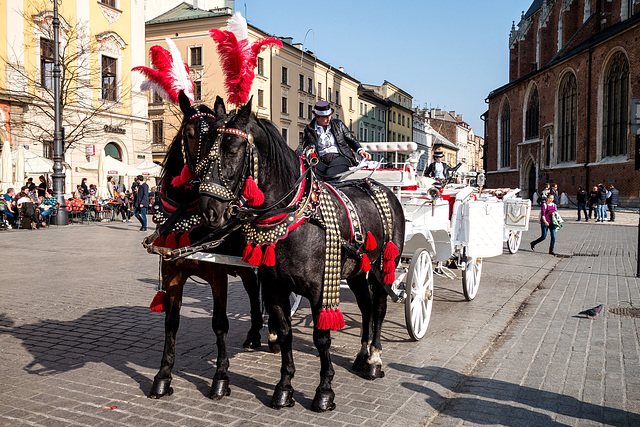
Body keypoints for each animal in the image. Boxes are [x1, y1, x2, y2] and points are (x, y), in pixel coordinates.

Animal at [146, 93, 264, 402]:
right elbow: (171, 322)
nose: (204, 192)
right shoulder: (172, 275)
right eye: (188, 133)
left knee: (256, 292)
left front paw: (220, 377)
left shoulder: (218, 274)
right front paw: (163, 375)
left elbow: (220, 323)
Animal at [199, 102, 404, 412]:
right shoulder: (275, 287)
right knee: (366, 308)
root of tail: (379, 186)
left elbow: (322, 338)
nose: (210, 211)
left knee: (378, 309)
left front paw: (324, 391)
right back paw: (361, 354)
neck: (294, 215)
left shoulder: (320, 289)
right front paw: (284, 388)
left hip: (384, 266)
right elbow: (285, 332)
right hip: (357, 270)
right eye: (204, 146)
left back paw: (374, 359)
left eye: (233, 149)